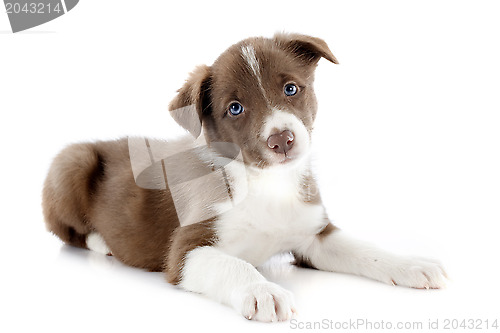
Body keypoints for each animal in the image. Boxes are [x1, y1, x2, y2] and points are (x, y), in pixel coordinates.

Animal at [43, 33, 448, 322]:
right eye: (235, 108)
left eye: (290, 88)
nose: (281, 140)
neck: (267, 183)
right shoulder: (185, 250)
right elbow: (232, 264)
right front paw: (263, 290)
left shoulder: (314, 236)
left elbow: (365, 249)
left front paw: (412, 264)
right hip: (71, 162)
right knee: (68, 231)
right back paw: (102, 242)